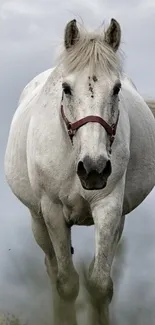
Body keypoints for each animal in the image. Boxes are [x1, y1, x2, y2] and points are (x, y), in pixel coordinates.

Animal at [3, 18, 155, 324]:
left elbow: (99, 283)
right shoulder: (52, 211)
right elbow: (67, 284)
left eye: (117, 89)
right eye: (66, 88)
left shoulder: (109, 207)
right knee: (53, 270)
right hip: (38, 221)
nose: (94, 169)